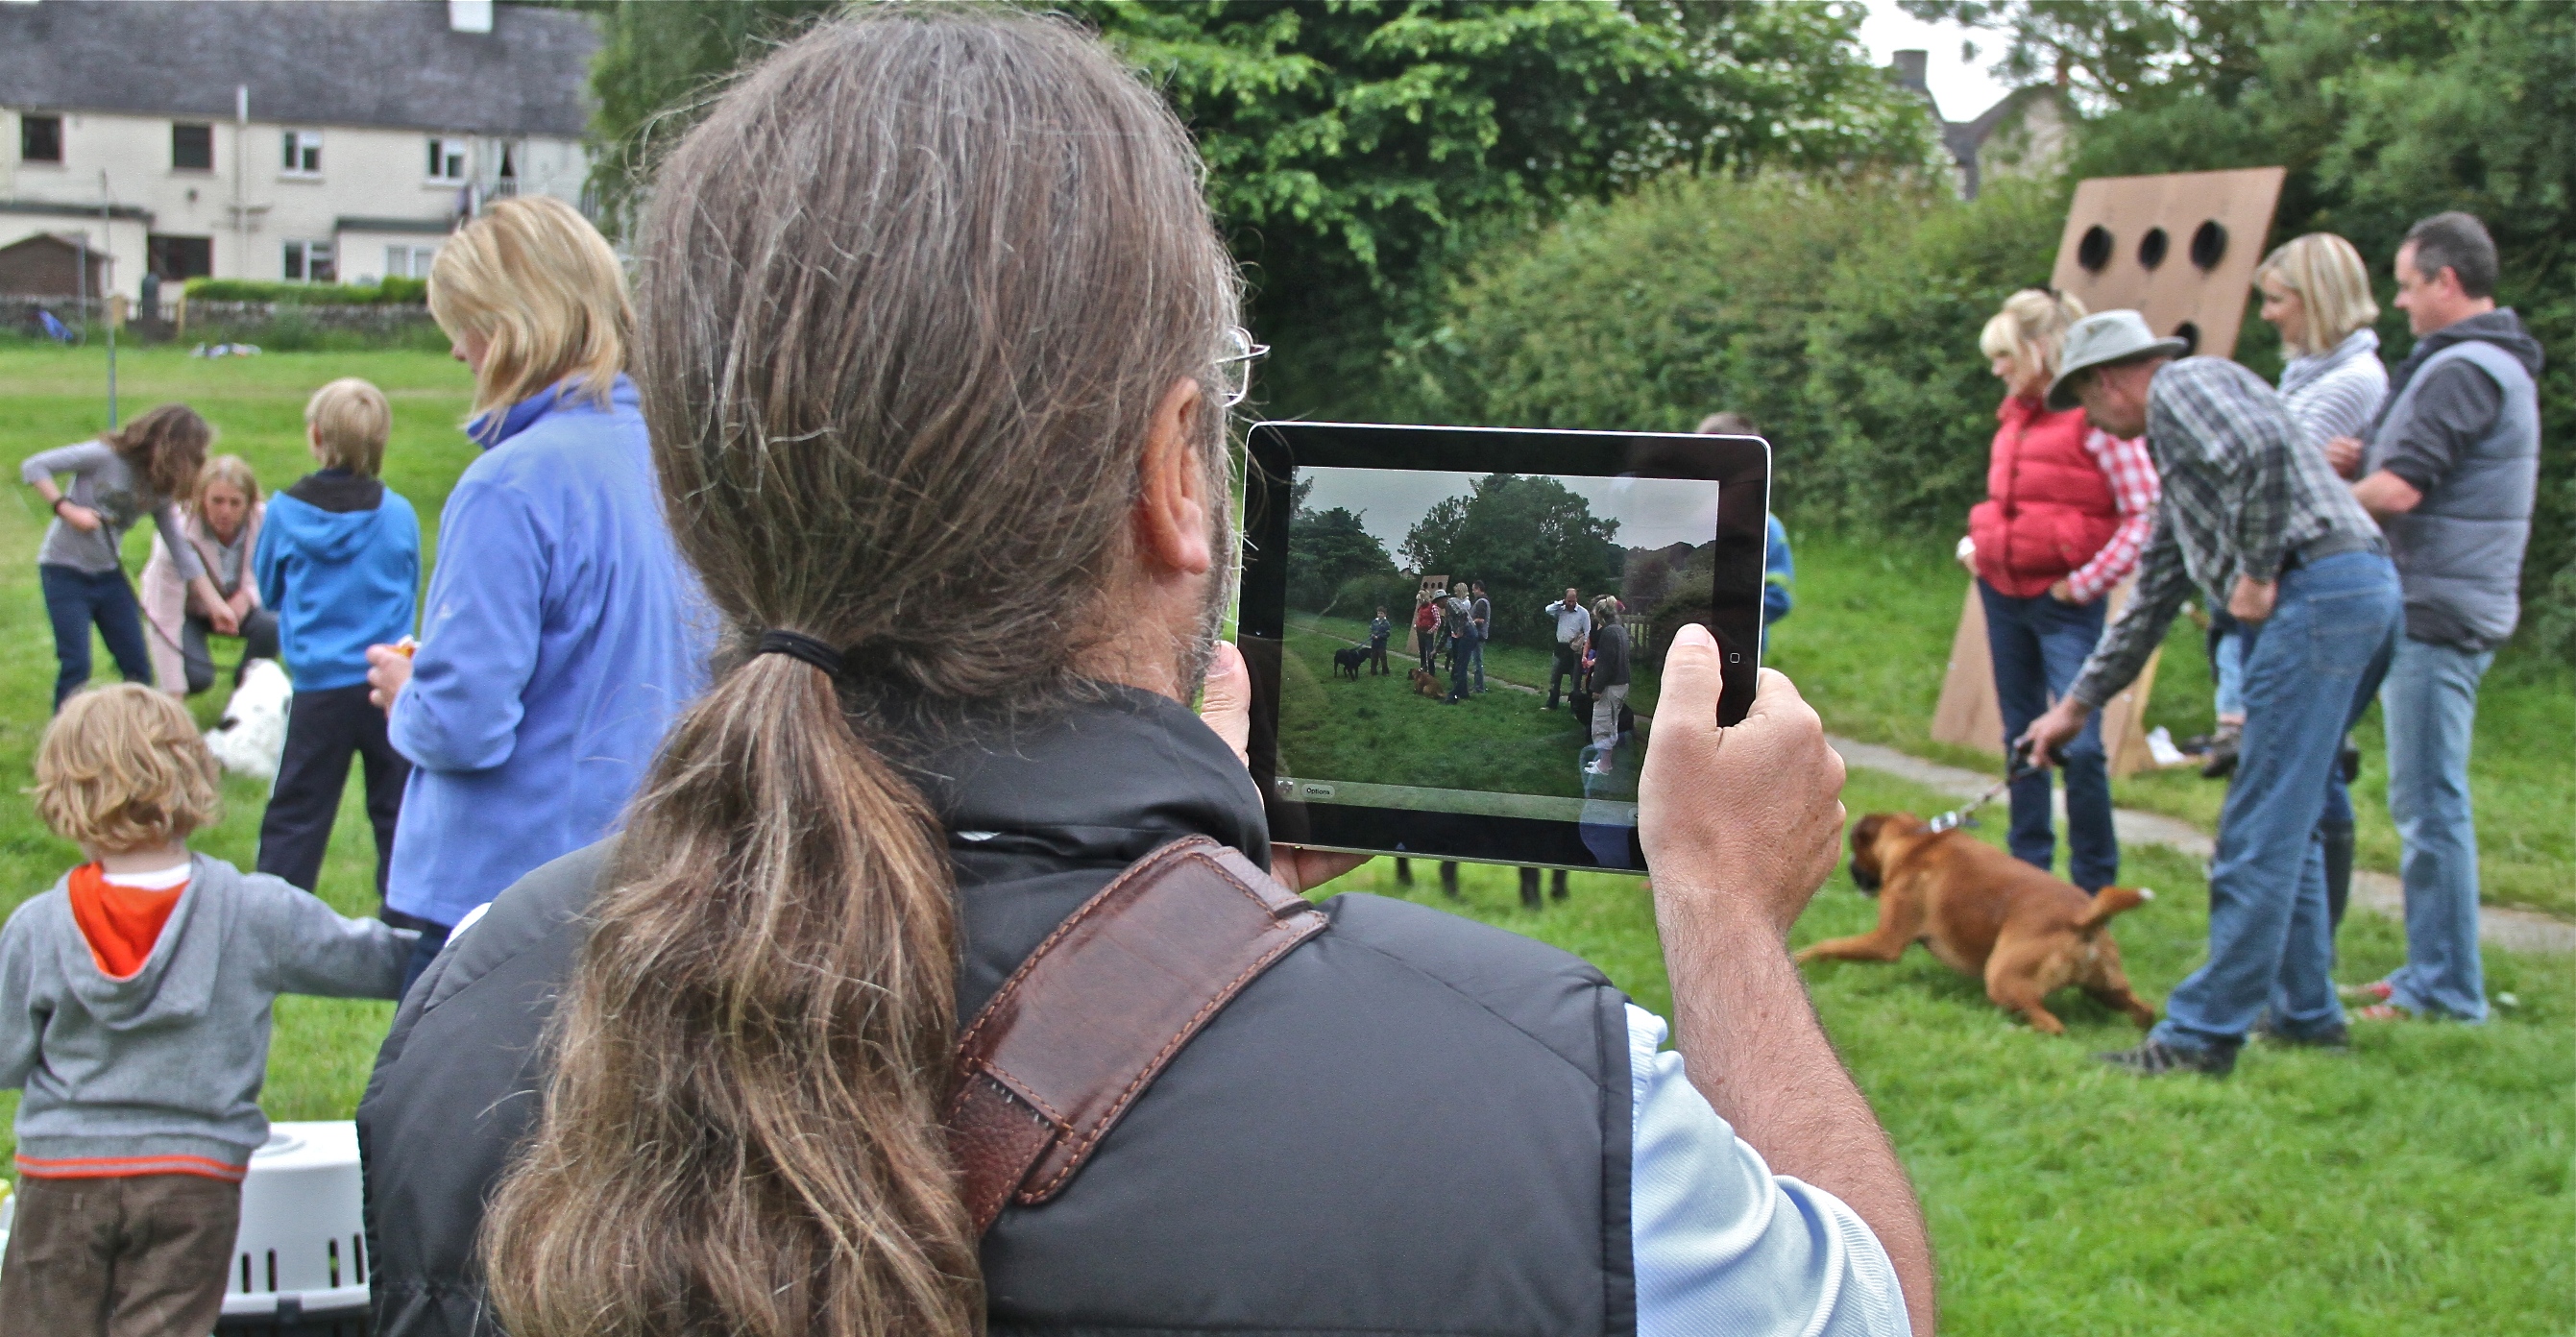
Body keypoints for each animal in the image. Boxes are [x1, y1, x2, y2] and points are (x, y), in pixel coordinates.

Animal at [1797, 812, 2158, 1035]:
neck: (1918, 840)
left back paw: (2015, 1028)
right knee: (2145, 1010)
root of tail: (2083, 917)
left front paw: (1802, 959)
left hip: (2002, 979)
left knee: (2052, 1024)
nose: (1849, 869)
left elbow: (1827, 946)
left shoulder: (1885, 941)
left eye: (1856, 849)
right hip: (2108, 988)